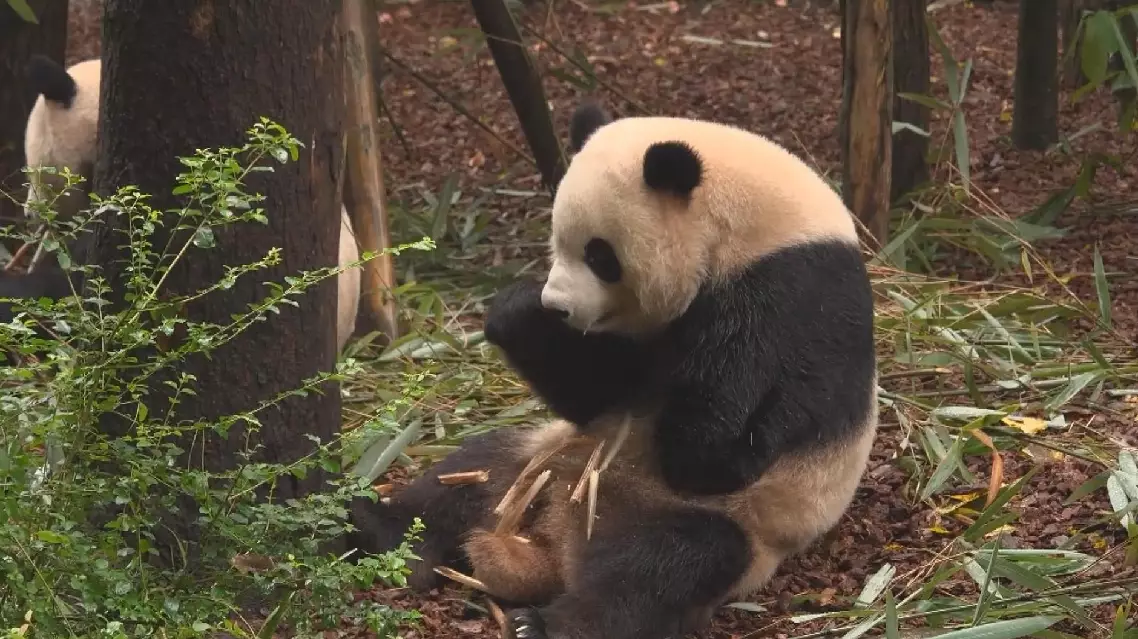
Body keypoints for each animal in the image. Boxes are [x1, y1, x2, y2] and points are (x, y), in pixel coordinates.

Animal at [351, 100, 879, 639]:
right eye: (556, 241)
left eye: (600, 255)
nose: (558, 306)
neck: (755, 226)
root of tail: (560, 544)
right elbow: (596, 392)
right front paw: (517, 309)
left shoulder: (790, 297)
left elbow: (712, 454)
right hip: (539, 461)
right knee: (467, 475)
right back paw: (374, 528)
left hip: (725, 524)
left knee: (662, 569)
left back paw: (540, 625)